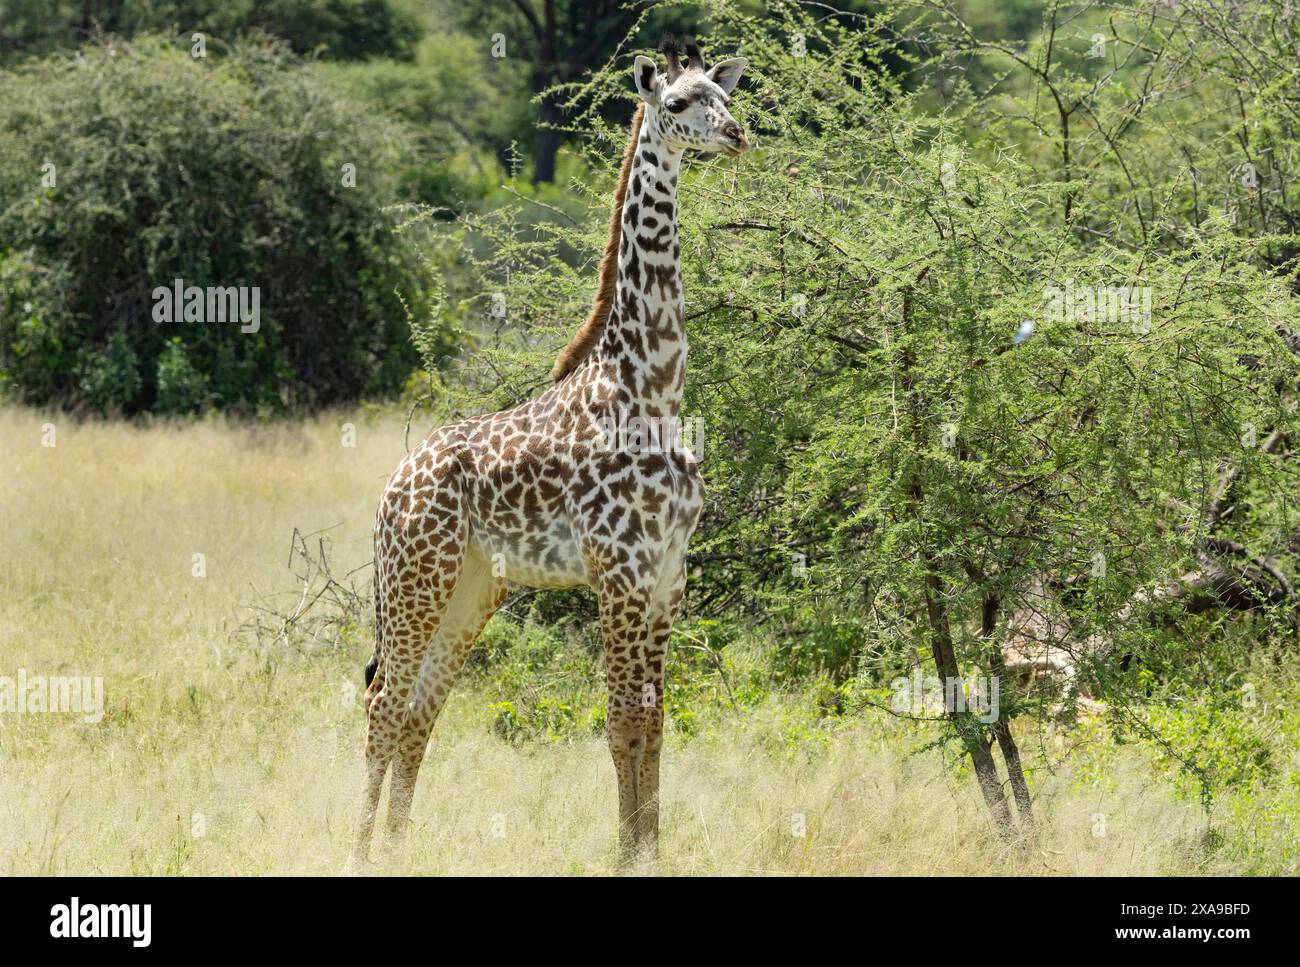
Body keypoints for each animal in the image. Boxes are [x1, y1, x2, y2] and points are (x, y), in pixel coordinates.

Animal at [354, 37, 750, 868]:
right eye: (678, 104)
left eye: (726, 98)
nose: (737, 136)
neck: (653, 389)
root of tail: (389, 486)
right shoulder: (619, 570)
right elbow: (621, 720)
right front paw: (628, 856)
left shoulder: (669, 574)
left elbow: (656, 721)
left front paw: (652, 851)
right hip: (415, 579)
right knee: (383, 698)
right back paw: (361, 851)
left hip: (474, 587)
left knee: (419, 708)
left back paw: (401, 849)